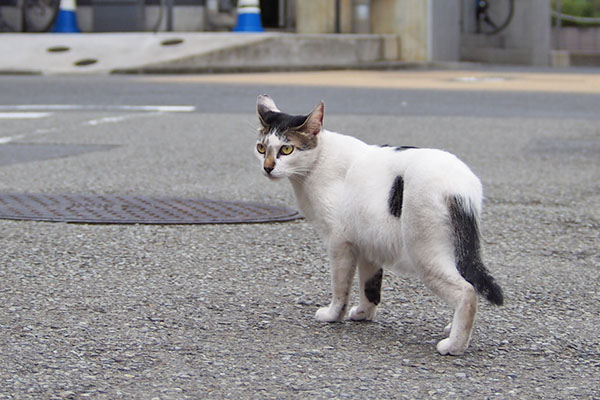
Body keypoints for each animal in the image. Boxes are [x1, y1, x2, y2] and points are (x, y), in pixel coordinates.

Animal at [253, 94, 502, 356]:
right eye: (261, 148)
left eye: (286, 149)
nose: (267, 167)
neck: (317, 161)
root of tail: (459, 186)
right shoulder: (368, 244)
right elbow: (369, 286)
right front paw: (364, 314)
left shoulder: (339, 243)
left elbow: (340, 287)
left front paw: (333, 315)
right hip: (457, 251)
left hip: (425, 254)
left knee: (467, 292)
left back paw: (454, 345)